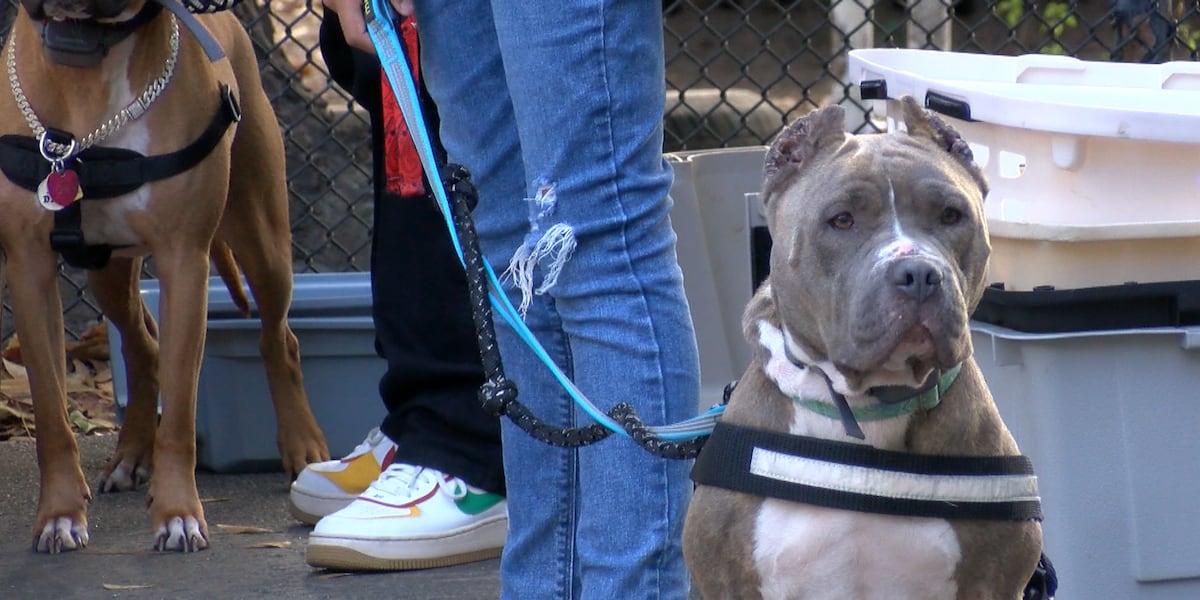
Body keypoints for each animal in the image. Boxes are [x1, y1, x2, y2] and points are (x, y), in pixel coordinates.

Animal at [0, 0, 328, 552]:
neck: (91, 60)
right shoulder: (30, 268)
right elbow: (51, 413)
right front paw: (60, 514)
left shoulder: (184, 262)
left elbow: (179, 410)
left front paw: (178, 513)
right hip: (107, 271)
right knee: (142, 346)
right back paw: (131, 456)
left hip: (261, 238)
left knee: (277, 338)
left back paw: (303, 448)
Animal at [681, 97, 1046, 595]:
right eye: (841, 220)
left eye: (952, 215)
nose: (918, 273)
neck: (865, 409)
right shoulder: (727, 583)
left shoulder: (994, 581)